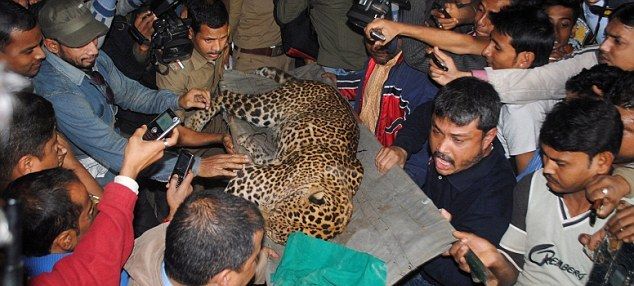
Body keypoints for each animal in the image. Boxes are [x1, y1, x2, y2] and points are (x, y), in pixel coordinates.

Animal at [184, 67, 360, 244]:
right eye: (279, 210)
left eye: (272, 233)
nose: (260, 212)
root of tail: (323, 84)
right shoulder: (245, 179)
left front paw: (247, 142)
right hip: (265, 109)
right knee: (225, 96)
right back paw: (195, 121)